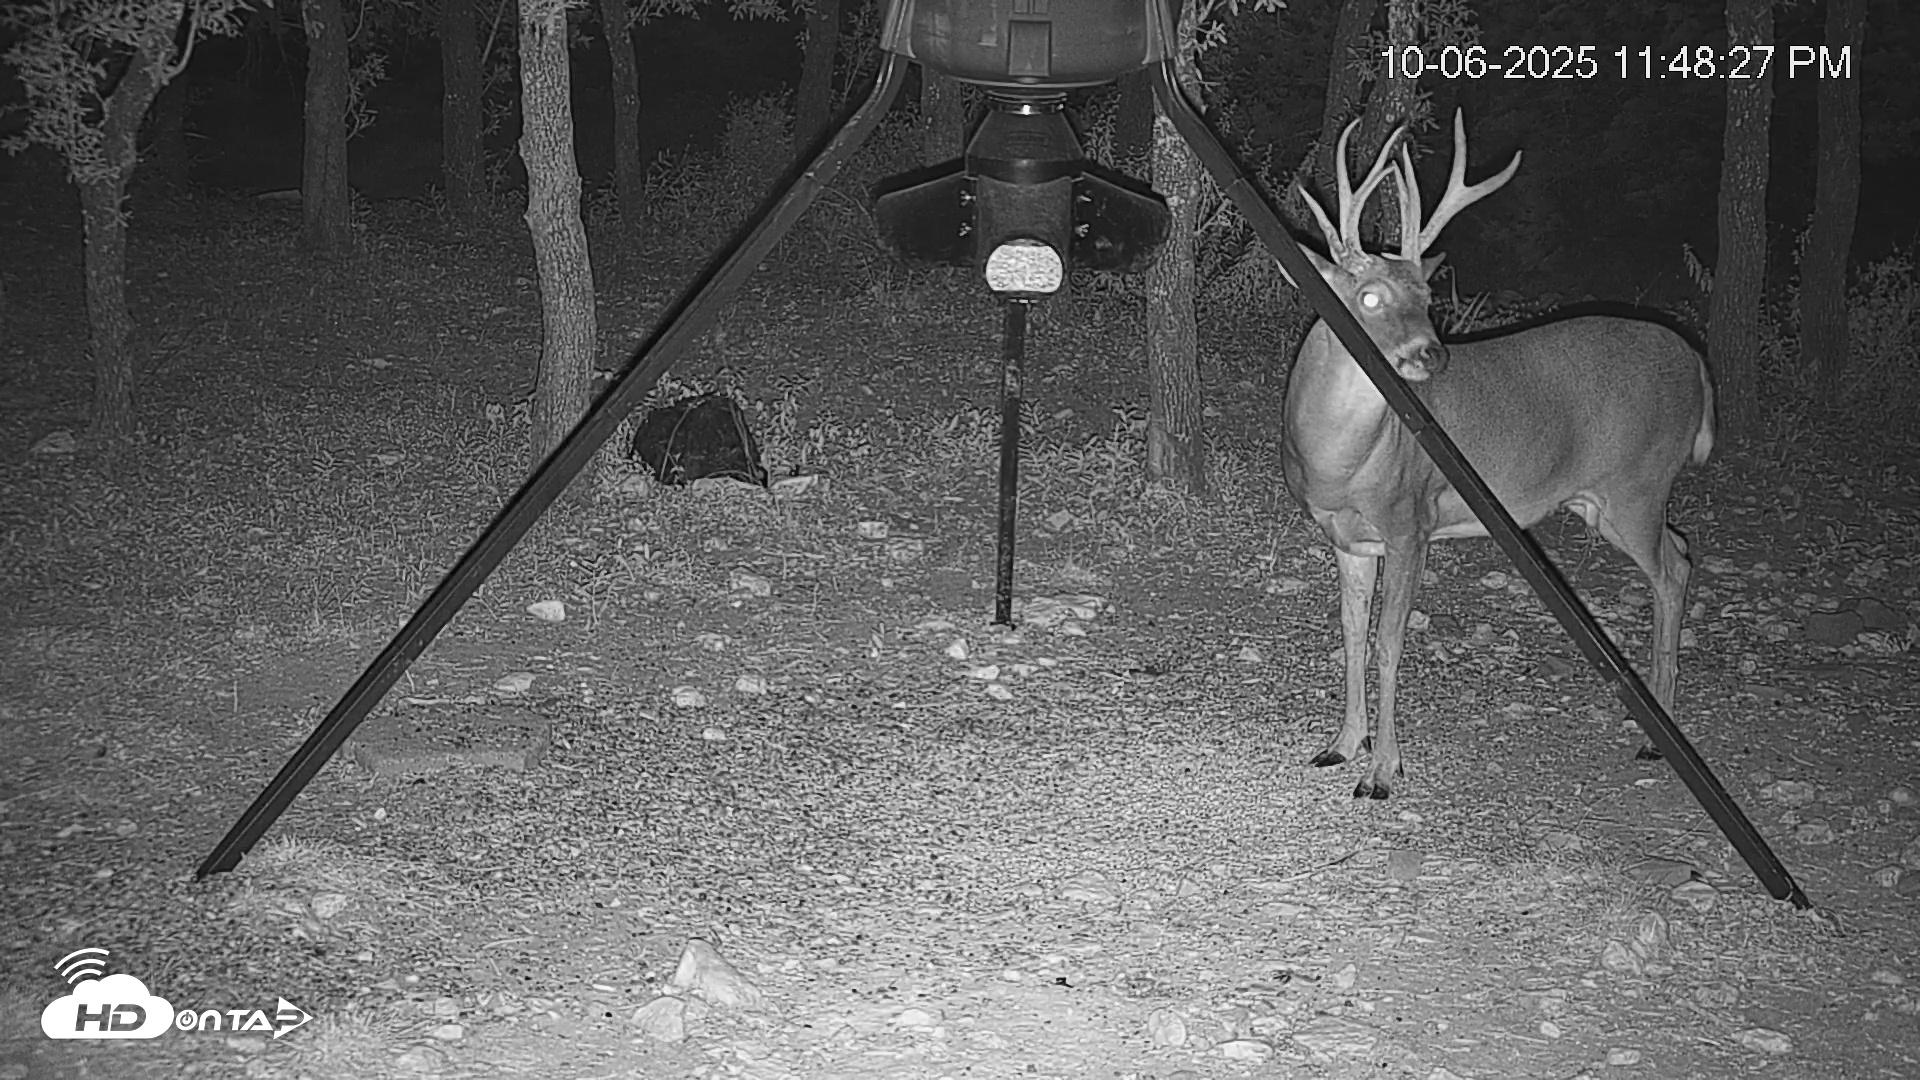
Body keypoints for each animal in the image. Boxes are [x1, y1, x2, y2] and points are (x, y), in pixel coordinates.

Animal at [1281, 111, 1715, 800]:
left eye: (1428, 297)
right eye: (1369, 296)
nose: (1432, 354)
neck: (1338, 461)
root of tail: (1697, 361)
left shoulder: (1412, 523)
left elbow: (1388, 643)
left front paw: (1383, 772)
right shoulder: (1347, 537)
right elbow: (1350, 635)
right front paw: (1342, 745)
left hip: (1638, 484)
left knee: (1674, 567)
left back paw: (1658, 734)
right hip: (1602, 502)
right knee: (1680, 550)